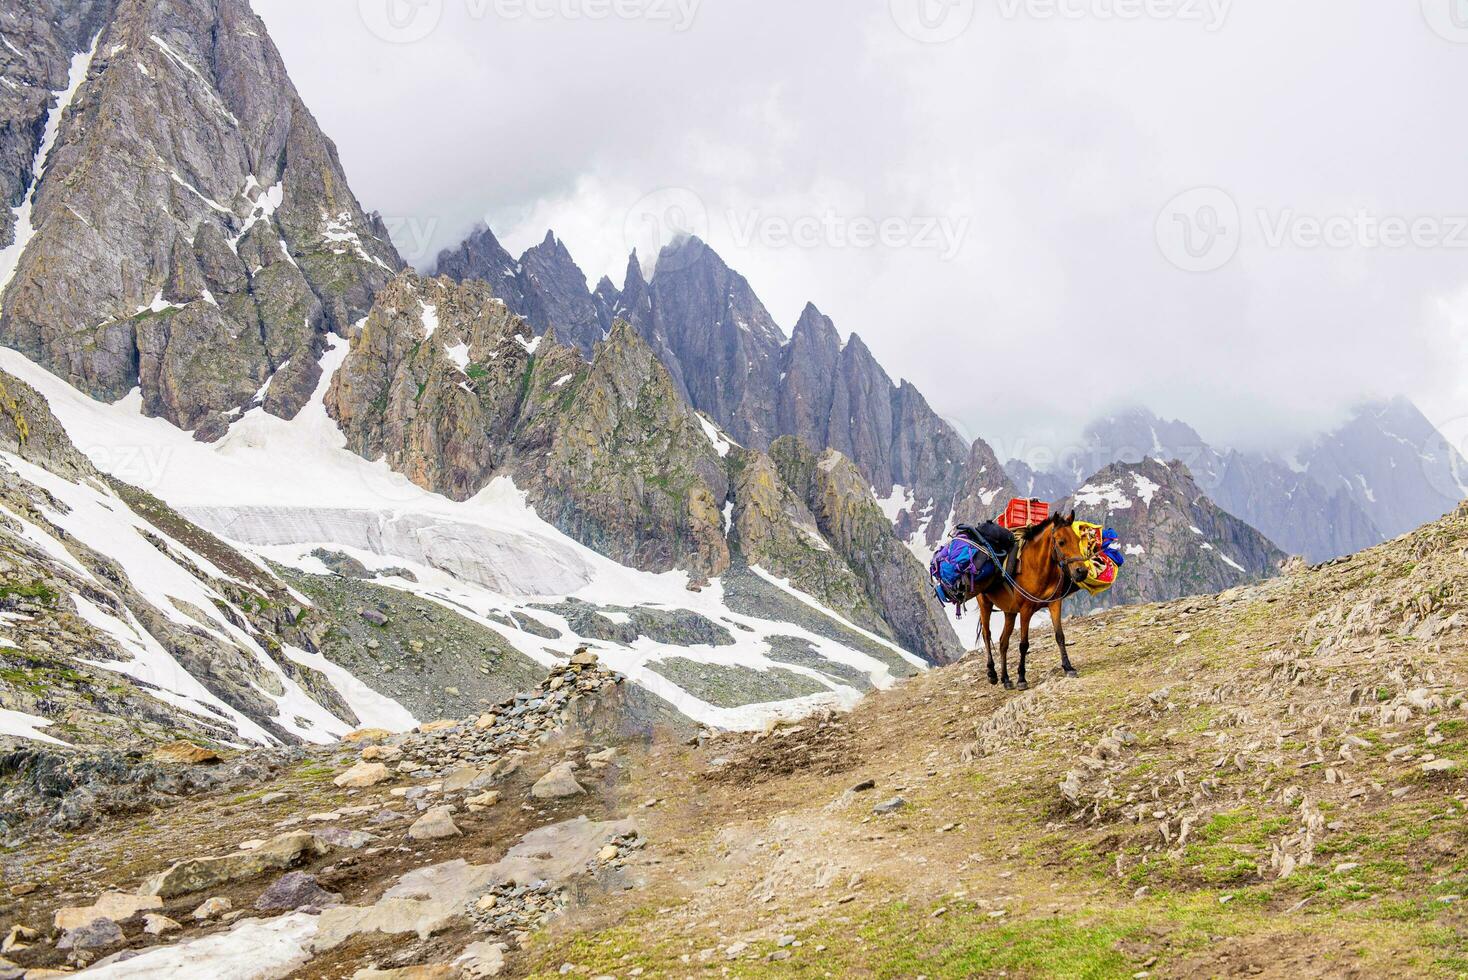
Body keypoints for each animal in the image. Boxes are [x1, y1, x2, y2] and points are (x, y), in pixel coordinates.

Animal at [974, 513, 1092, 689]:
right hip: (985, 604)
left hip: (1009, 611)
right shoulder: (1026, 609)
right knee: (987, 635)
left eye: (1078, 540)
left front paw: (1068, 667)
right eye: (1061, 542)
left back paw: (1006, 679)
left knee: (1003, 642)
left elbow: (1060, 636)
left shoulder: (1054, 604)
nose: (1082, 571)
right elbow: (1024, 644)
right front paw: (1022, 678)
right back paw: (992, 674)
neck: (1037, 567)